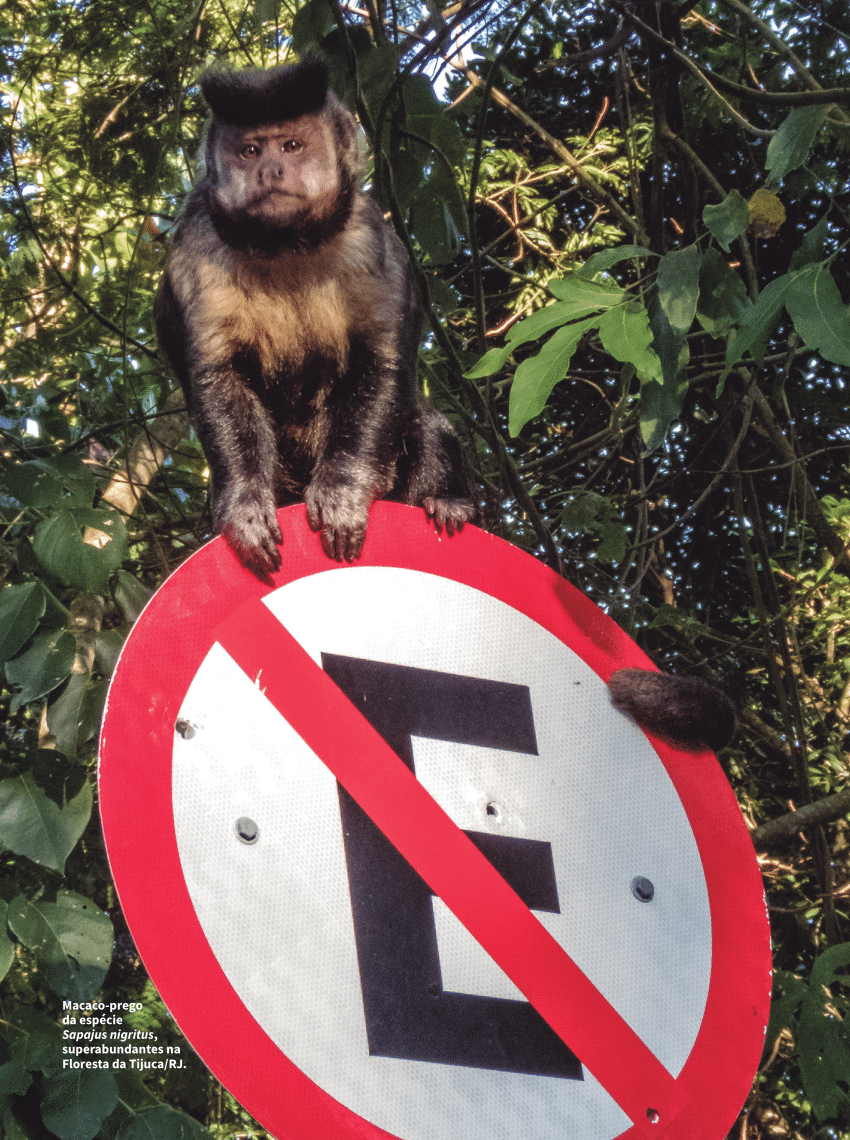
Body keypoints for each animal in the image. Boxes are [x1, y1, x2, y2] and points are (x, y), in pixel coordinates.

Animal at [156, 54, 473, 574]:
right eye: (249, 150)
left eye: (291, 145)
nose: (271, 169)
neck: (287, 245)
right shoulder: (196, 242)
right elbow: (218, 376)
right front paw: (244, 504)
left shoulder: (370, 238)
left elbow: (380, 362)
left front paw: (343, 490)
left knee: (426, 423)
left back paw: (445, 501)